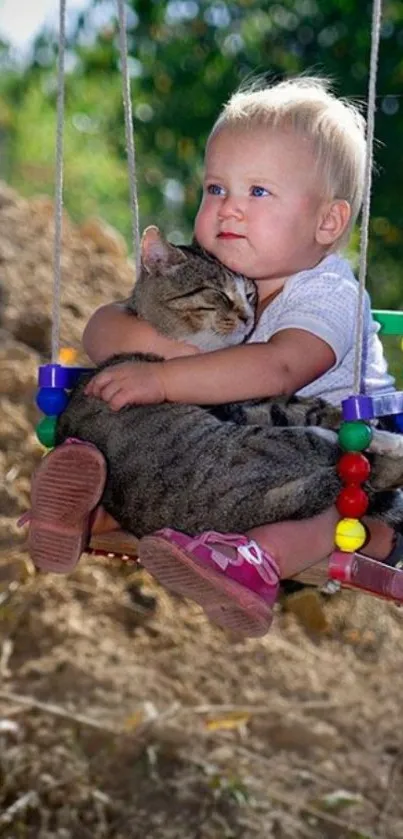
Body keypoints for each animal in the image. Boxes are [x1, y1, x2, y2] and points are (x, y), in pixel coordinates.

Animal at [57, 223, 403, 540]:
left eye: (250, 295)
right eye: (218, 293)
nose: (248, 317)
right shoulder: (244, 402)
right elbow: (315, 410)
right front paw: (387, 437)